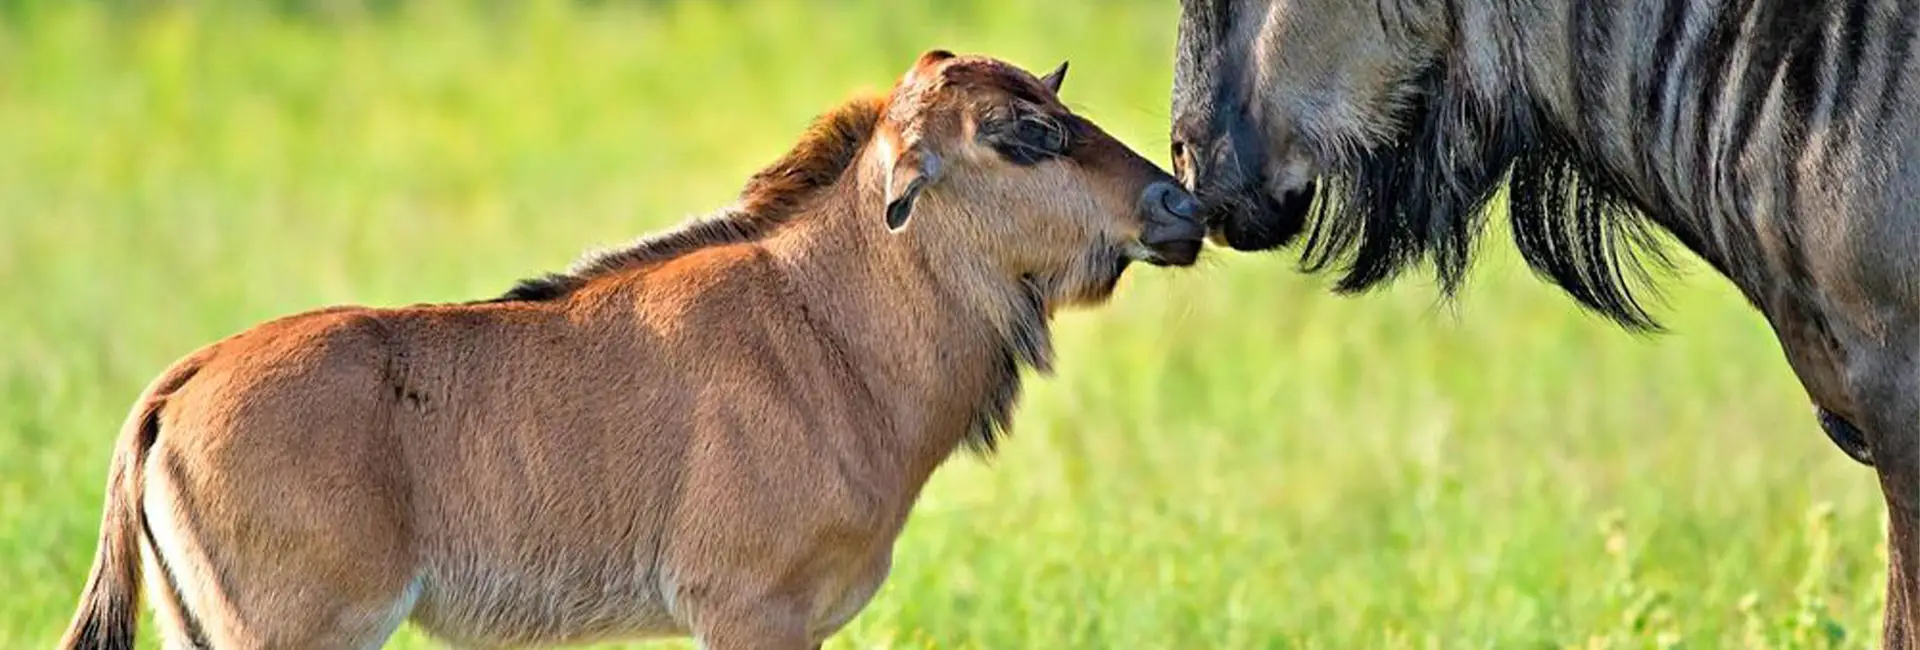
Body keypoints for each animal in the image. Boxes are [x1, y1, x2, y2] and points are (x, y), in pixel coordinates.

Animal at [59, 50, 1205, 650]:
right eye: (1020, 131)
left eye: (1059, 102)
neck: (828, 325)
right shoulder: (748, 612)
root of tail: (174, 391)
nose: (1180, 204)